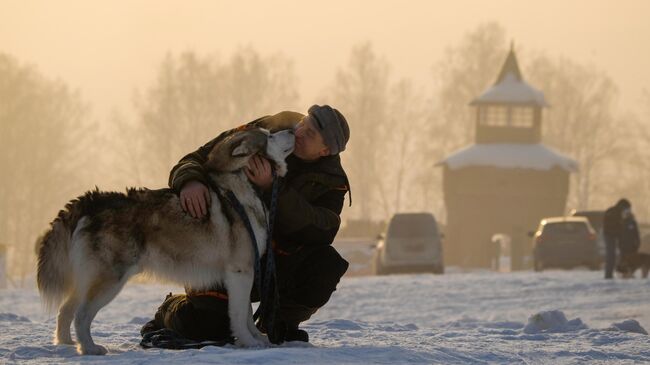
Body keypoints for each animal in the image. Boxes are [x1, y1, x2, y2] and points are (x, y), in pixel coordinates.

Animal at [36, 127, 294, 352]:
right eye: (269, 136)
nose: (292, 128)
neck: (244, 186)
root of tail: (91, 201)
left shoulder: (244, 272)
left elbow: (248, 314)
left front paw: (258, 338)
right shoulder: (240, 270)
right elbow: (240, 315)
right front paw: (250, 343)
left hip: (88, 278)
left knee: (65, 310)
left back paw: (67, 343)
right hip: (110, 279)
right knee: (81, 315)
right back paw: (89, 348)